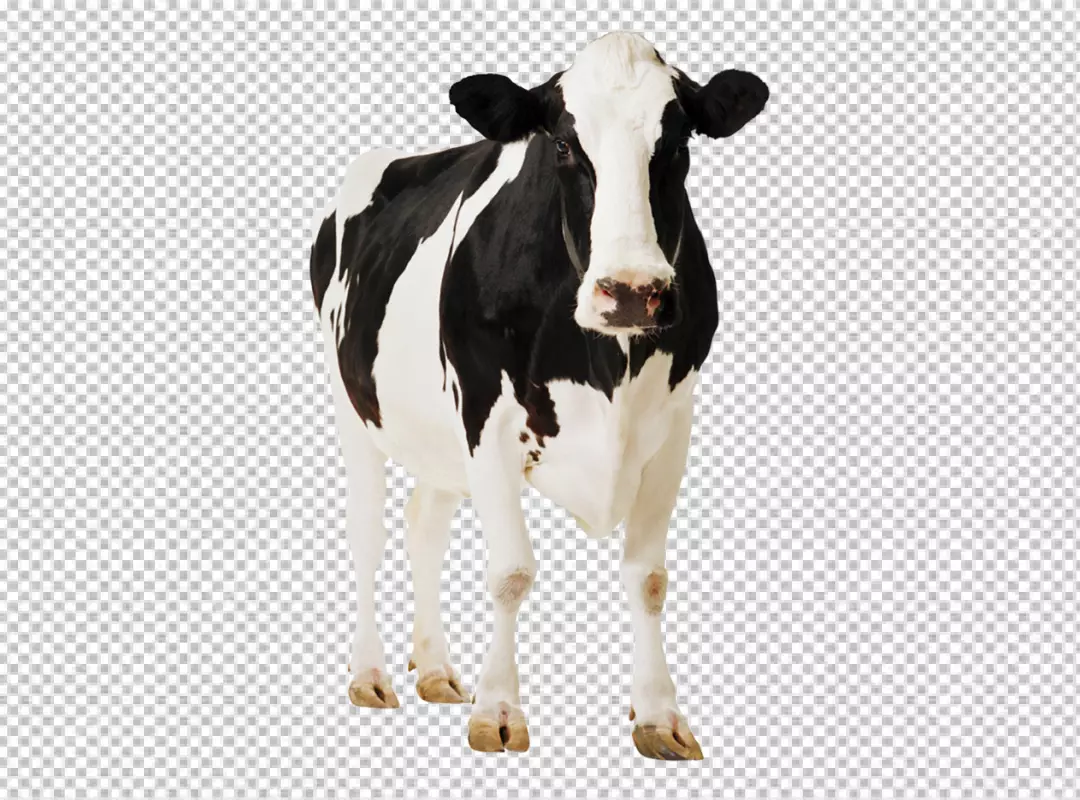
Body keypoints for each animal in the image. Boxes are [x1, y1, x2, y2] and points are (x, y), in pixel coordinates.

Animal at [310, 31, 768, 760]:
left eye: (678, 143)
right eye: (561, 145)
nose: (632, 291)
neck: (606, 361)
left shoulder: (672, 430)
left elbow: (649, 577)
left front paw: (658, 715)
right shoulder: (485, 420)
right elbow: (511, 572)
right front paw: (498, 710)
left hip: (438, 439)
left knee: (423, 524)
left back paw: (434, 669)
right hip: (354, 409)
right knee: (367, 537)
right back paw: (369, 675)